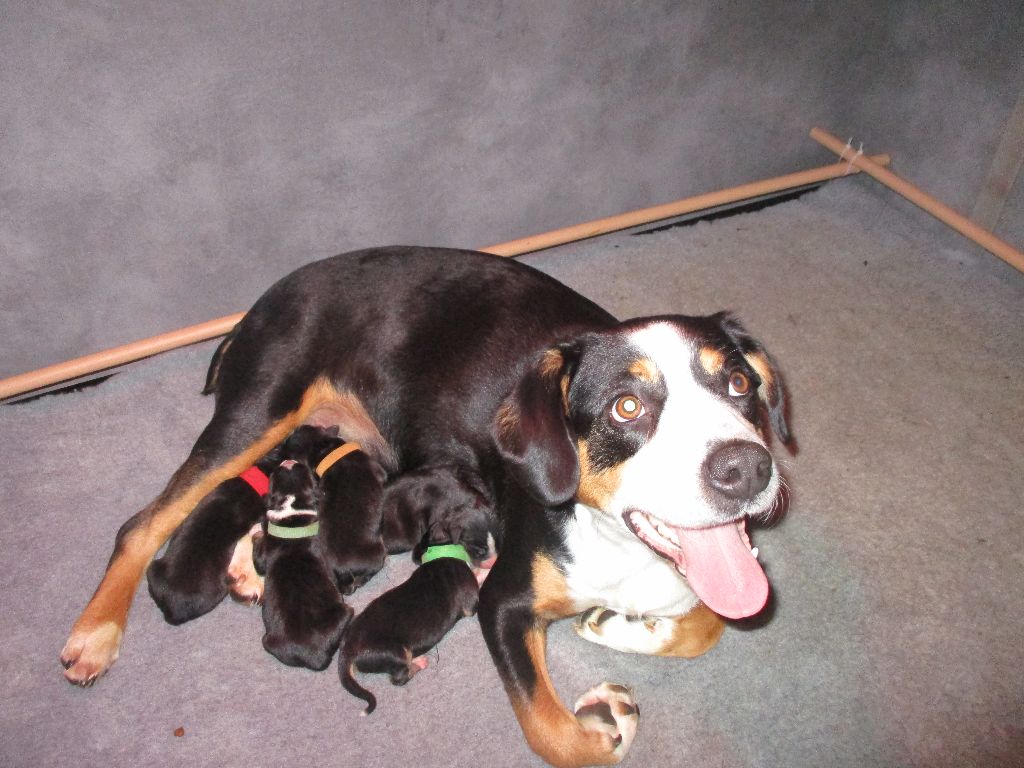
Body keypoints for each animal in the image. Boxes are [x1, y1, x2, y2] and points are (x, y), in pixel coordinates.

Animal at [251, 460, 352, 671]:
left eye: (273, 477)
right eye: (309, 474)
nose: (288, 461)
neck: (293, 511)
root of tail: (313, 657)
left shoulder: (265, 553)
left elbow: (258, 560)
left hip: (268, 641)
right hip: (345, 612)